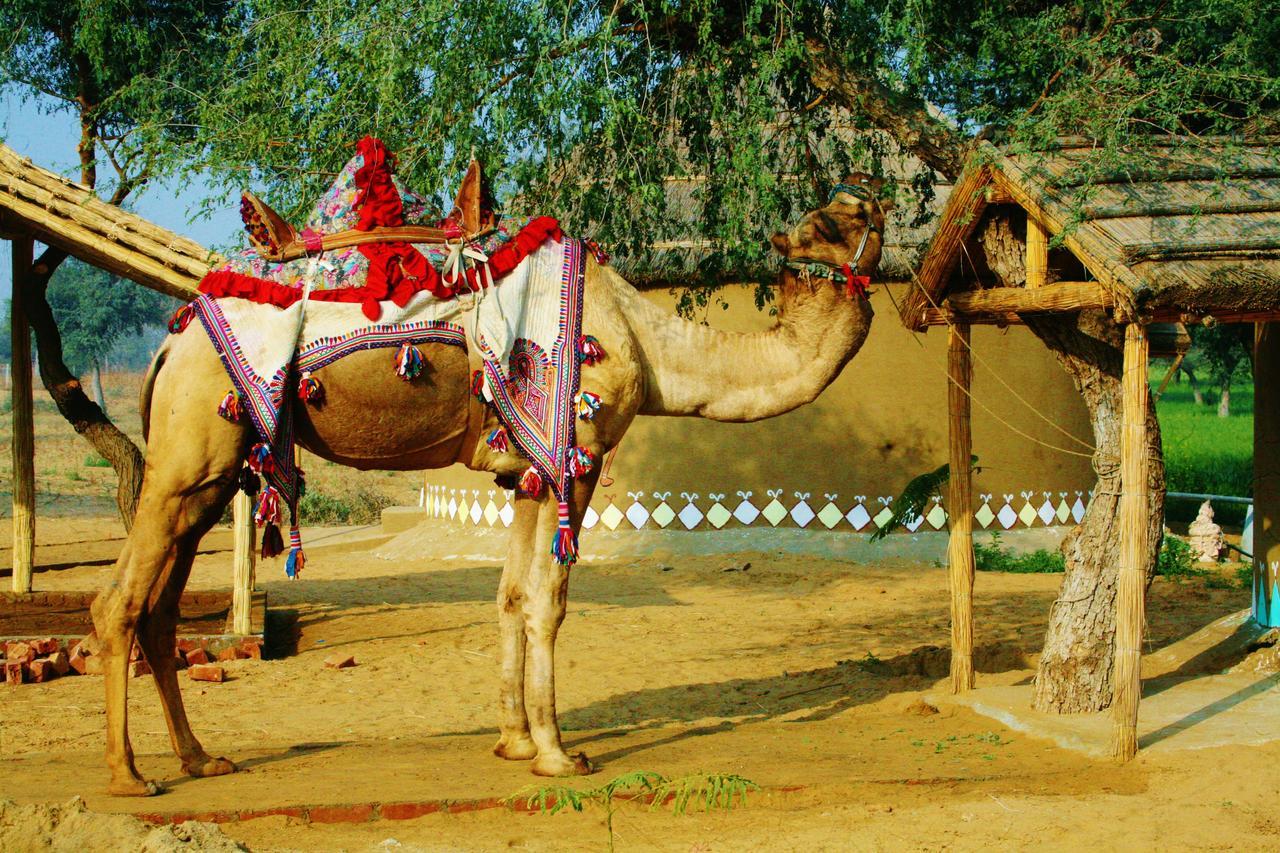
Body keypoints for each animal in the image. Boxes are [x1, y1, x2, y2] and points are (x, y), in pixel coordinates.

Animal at [90, 136, 890, 794]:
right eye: (846, 213)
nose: (788, 232)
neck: (649, 344)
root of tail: (165, 349)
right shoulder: (575, 454)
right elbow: (548, 601)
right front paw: (559, 754)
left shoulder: (524, 473)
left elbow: (509, 594)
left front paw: (513, 741)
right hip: (186, 452)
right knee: (117, 602)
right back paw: (130, 775)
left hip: (210, 471)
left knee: (160, 611)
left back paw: (200, 759)